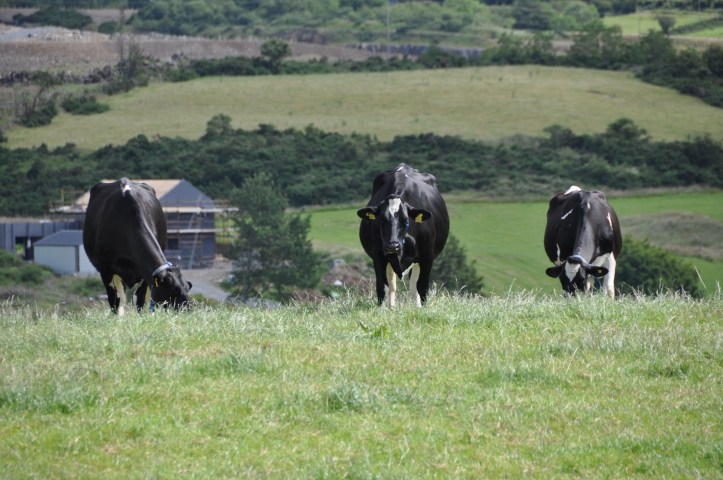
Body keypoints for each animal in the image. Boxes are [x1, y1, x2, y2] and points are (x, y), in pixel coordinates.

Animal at [83, 178, 192, 315]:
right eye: (174, 290)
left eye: (187, 288)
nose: (187, 311)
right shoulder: (105, 269)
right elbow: (114, 300)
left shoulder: (145, 272)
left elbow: (139, 299)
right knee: (120, 298)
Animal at [357, 164, 449, 307]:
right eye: (382, 220)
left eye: (406, 220)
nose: (392, 246)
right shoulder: (378, 255)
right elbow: (382, 287)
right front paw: (383, 310)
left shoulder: (427, 257)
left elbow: (422, 286)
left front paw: (422, 309)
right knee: (393, 285)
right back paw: (392, 307)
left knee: (413, 285)